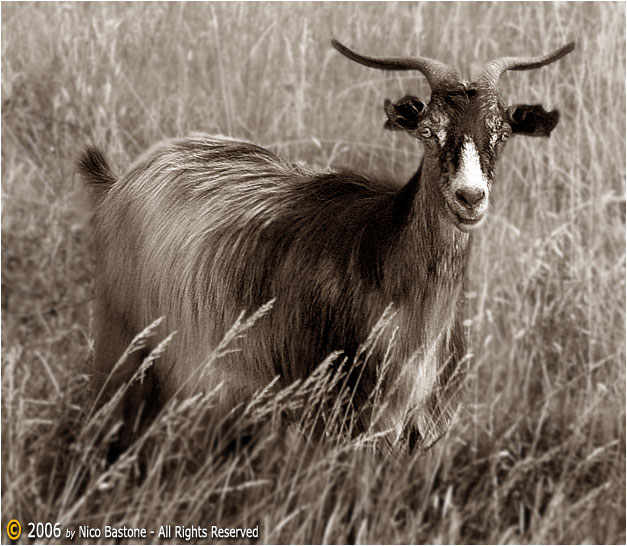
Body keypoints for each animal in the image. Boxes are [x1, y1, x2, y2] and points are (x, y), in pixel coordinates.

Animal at [78, 38, 576, 450]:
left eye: (502, 134)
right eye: (427, 132)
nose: (469, 198)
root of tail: (122, 178)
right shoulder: (334, 412)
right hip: (123, 341)